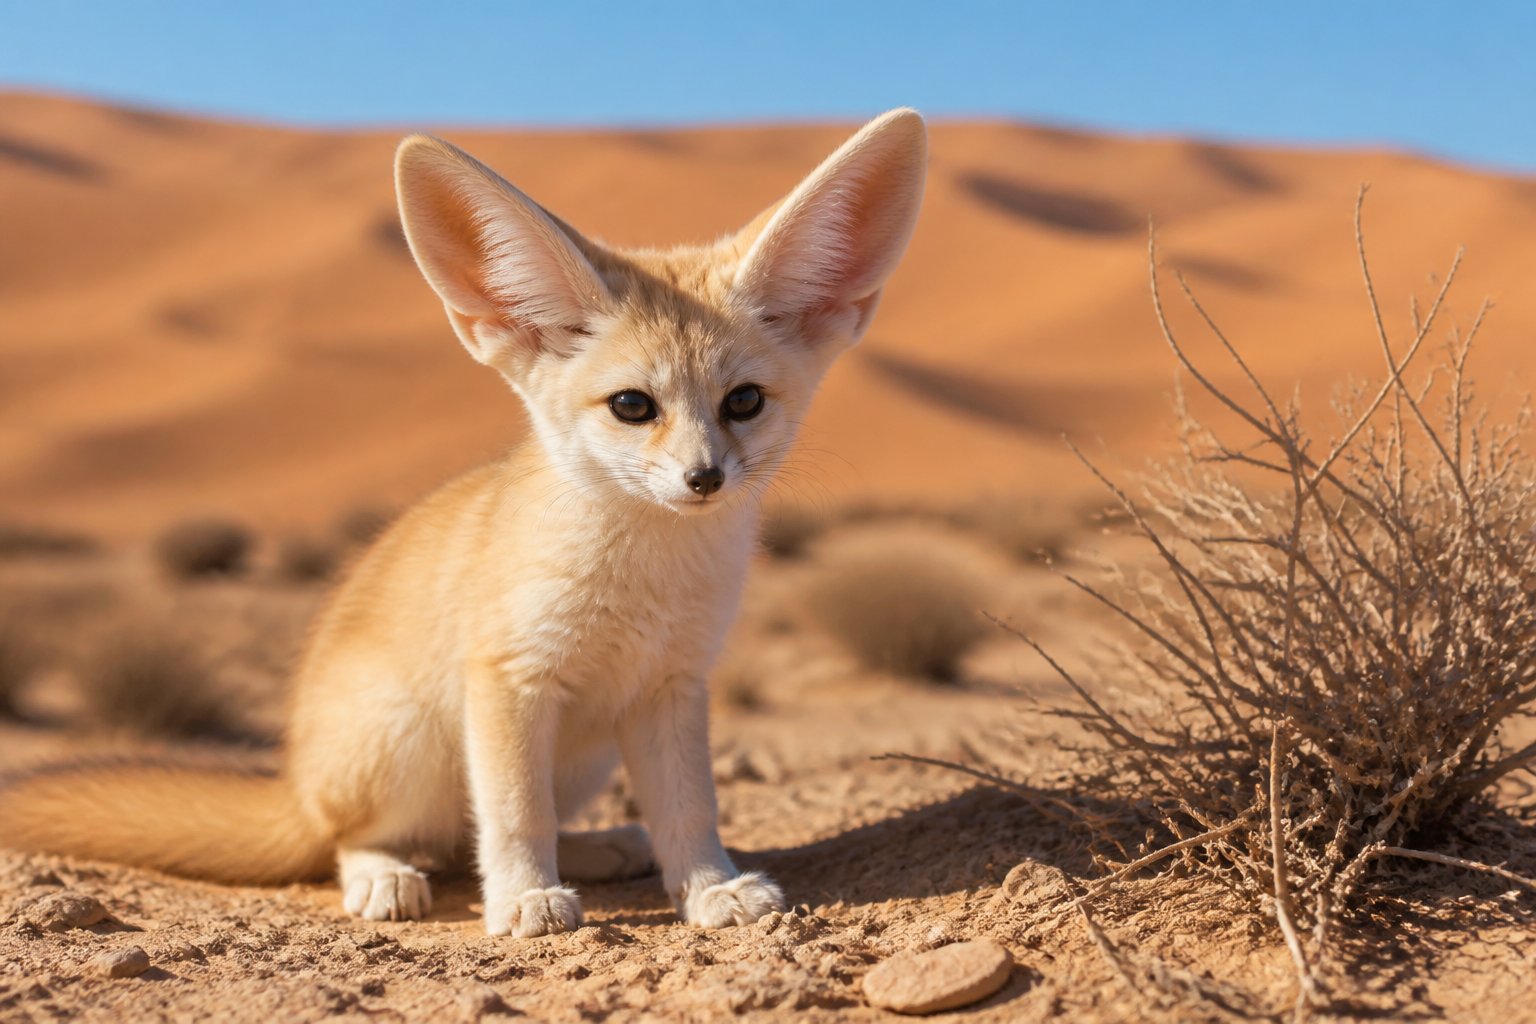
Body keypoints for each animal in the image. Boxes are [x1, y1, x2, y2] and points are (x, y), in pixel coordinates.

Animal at [0, 109, 927, 937]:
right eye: (633, 405)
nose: (705, 477)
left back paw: (597, 849)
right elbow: (514, 812)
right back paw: (387, 878)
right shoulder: (509, 681)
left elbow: (688, 809)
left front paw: (710, 890)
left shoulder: (670, 687)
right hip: (413, 742)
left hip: (584, 753)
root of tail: (296, 783)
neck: (645, 577)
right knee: (368, 840)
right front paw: (525, 902)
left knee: (469, 835)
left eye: (744, 403)